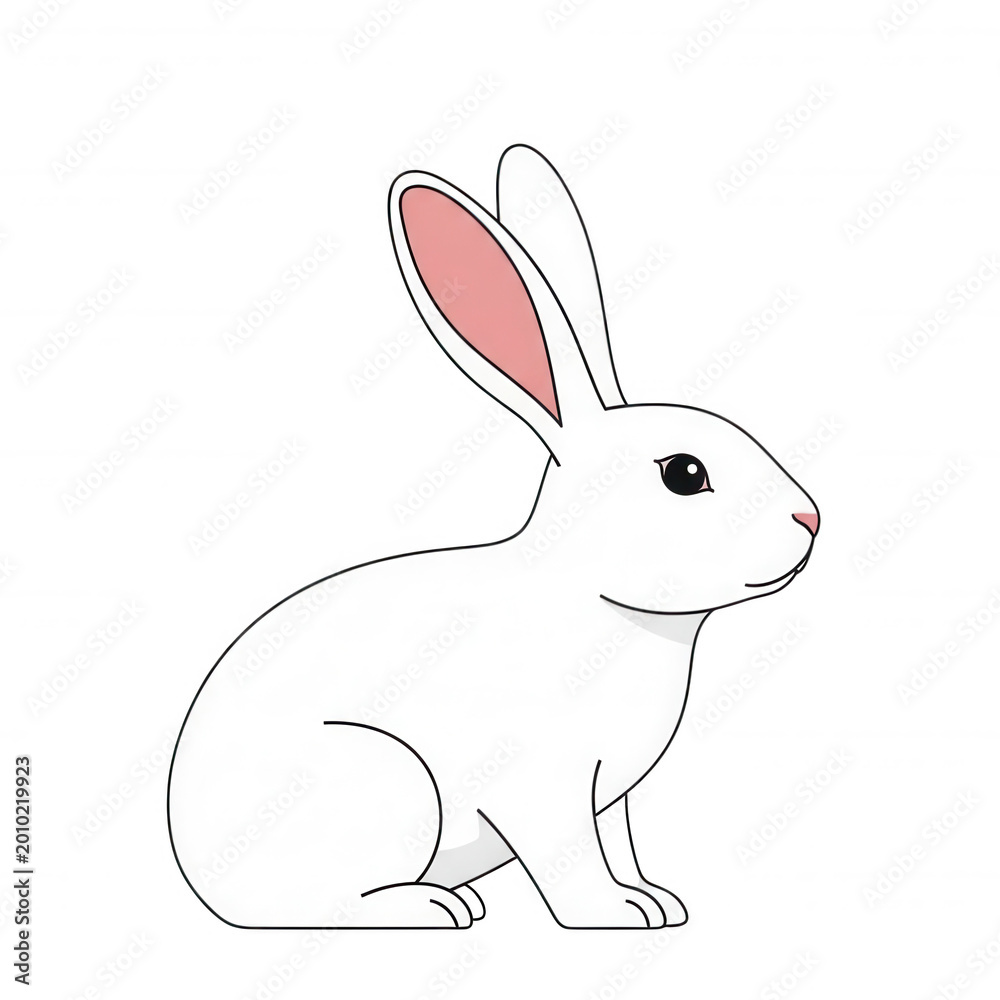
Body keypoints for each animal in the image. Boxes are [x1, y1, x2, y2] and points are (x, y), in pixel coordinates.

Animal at [167, 144, 819, 931]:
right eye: (685, 474)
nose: (811, 520)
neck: (596, 594)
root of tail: (196, 870)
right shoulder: (544, 789)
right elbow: (568, 859)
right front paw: (611, 914)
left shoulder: (611, 800)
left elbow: (620, 846)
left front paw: (656, 902)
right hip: (387, 786)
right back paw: (432, 908)